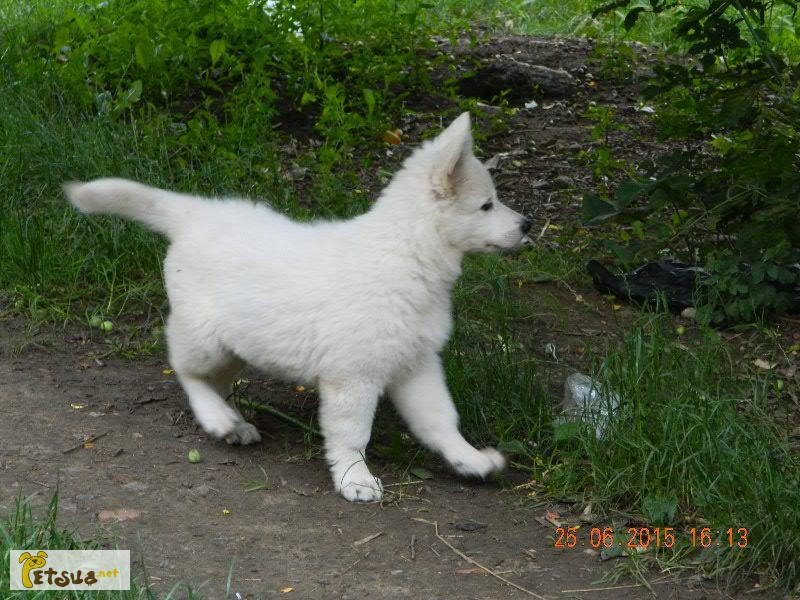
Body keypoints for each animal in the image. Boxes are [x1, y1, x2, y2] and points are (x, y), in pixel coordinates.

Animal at [65, 112, 532, 502]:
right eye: (486, 205)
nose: (527, 224)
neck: (406, 256)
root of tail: (196, 214)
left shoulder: (416, 363)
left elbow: (440, 419)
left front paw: (467, 459)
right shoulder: (353, 376)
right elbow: (352, 434)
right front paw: (354, 478)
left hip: (241, 341)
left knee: (214, 378)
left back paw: (233, 421)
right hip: (207, 337)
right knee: (186, 369)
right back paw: (218, 418)